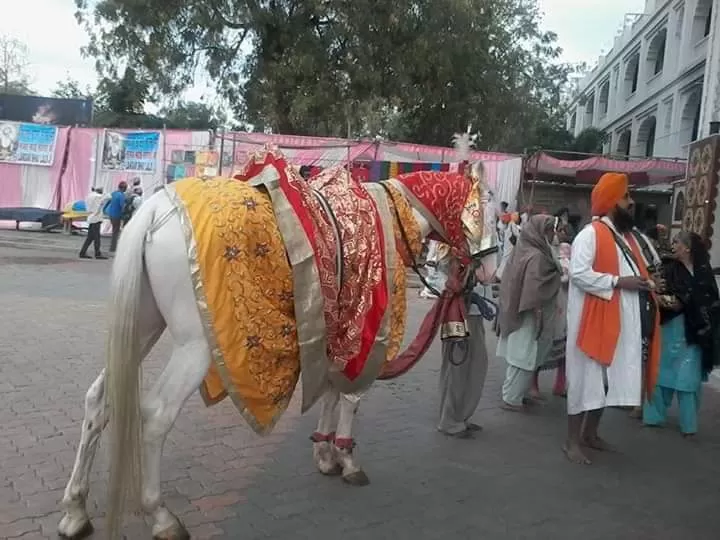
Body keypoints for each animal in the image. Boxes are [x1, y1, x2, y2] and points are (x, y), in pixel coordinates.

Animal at [56, 159, 498, 540]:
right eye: (491, 211)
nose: (491, 272)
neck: (392, 218)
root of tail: (153, 210)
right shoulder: (368, 331)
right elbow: (351, 397)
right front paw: (348, 461)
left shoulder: (339, 330)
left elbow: (332, 393)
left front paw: (325, 454)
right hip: (195, 344)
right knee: (156, 415)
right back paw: (161, 517)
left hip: (144, 322)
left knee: (100, 400)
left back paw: (76, 510)